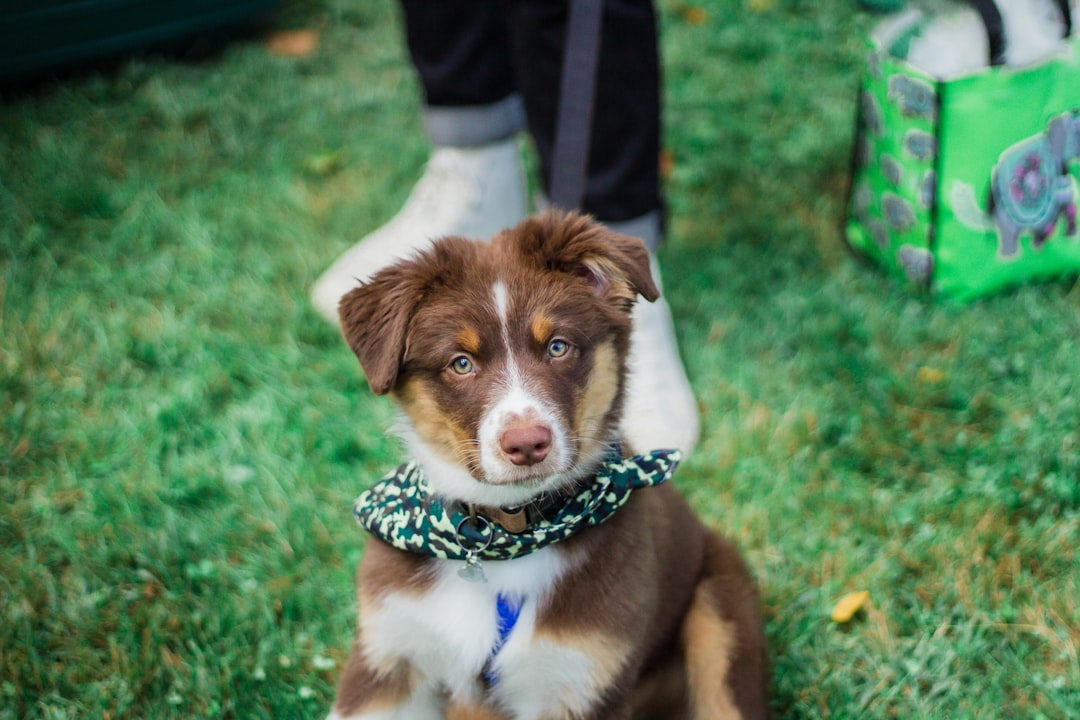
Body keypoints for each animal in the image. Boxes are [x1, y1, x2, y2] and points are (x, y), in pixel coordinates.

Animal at [328, 211, 768, 716]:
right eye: (461, 363)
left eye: (558, 347)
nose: (526, 444)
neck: (506, 536)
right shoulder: (386, 659)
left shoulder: (581, 680)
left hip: (721, 609)